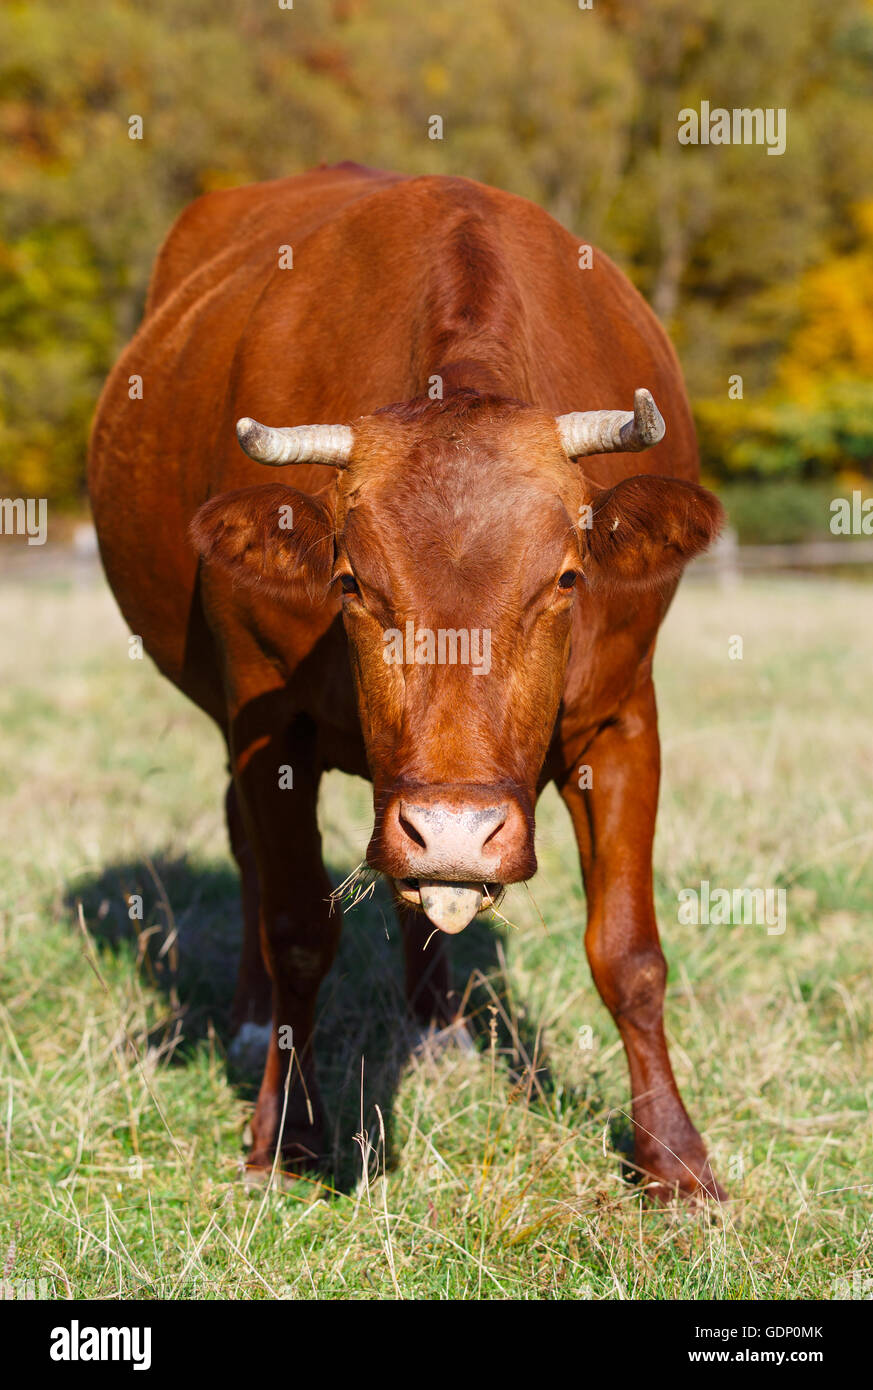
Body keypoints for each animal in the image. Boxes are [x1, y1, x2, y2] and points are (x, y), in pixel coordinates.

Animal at [90, 162, 728, 1200]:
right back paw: (253, 1025)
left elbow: (627, 951)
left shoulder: (624, 715)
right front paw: (284, 1135)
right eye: (351, 581)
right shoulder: (266, 724)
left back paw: (435, 1027)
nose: (457, 828)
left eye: (567, 578)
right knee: (254, 860)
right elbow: (298, 928)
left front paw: (675, 1162)